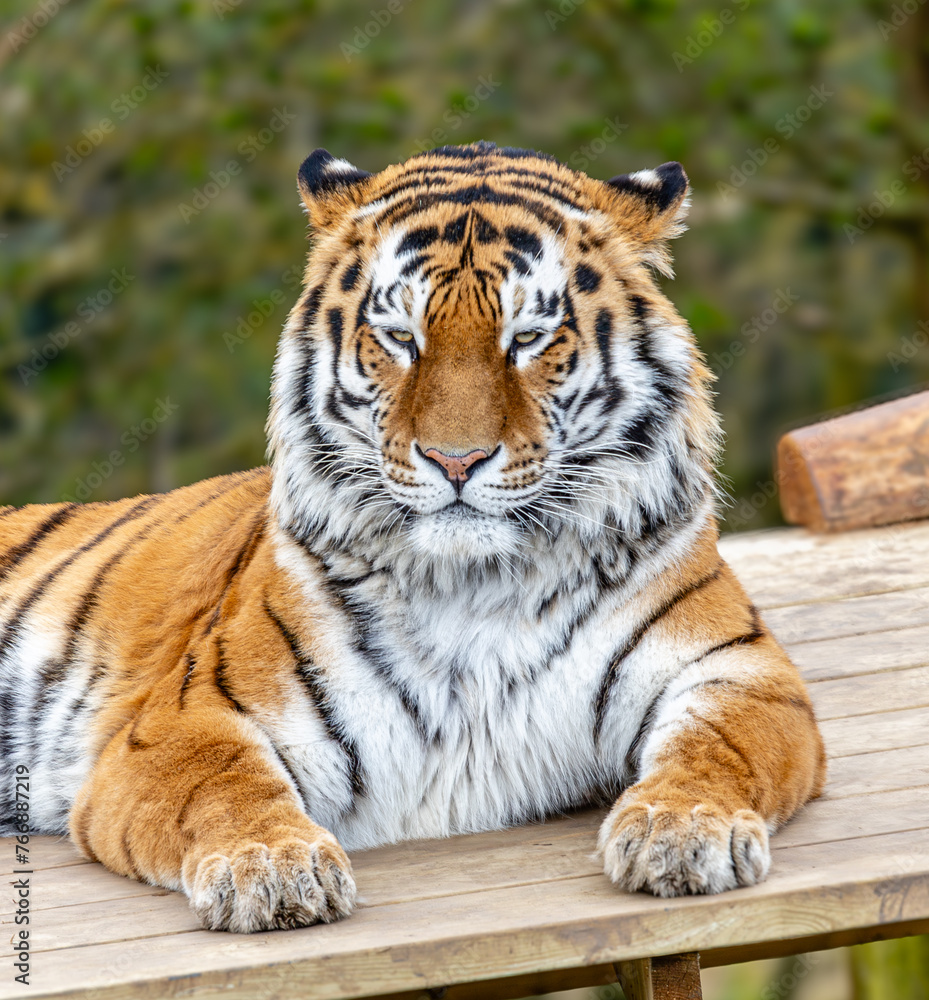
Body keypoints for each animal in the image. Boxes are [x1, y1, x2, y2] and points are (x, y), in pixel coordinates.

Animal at [0, 141, 826, 933]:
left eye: (527, 338)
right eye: (400, 337)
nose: (455, 460)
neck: (478, 583)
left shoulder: (740, 672)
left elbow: (715, 747)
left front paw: (682, 830)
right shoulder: (181, 721)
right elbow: (224, 784)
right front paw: (270, 867)